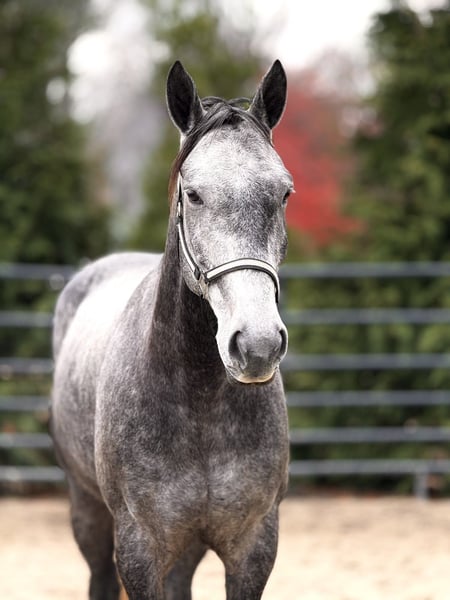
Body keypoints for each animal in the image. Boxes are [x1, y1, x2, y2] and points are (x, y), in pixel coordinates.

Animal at [50, 59, 293, 600]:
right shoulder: (139, 550)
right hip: (87, 513)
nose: (258, 345)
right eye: (193, 194)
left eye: (284, 193)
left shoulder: (254, 547)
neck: (199, 400)